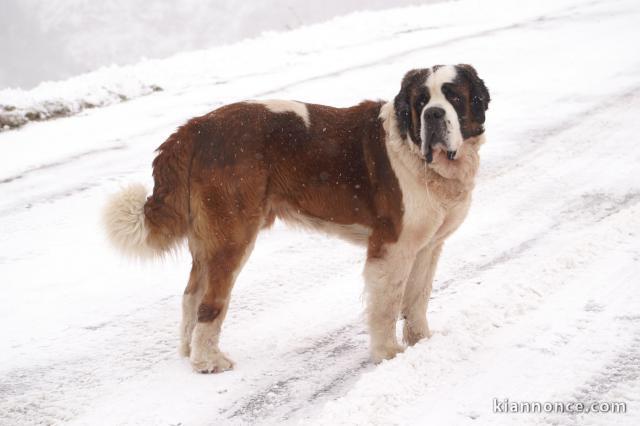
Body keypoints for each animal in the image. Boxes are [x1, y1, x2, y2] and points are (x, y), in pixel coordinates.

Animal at [104, 63, 490, 372]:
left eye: (453, 97)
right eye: (421, 101)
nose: (434, 115)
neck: (415, 152)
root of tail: (196, 127)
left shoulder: (427, 245)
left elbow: (418, 297)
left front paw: (421, 341)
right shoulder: (392, 247)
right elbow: (388, 304)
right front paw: (388, 354)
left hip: (209, 240)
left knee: (191, 295)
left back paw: (189, 353)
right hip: (233, 235)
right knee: (210, 304)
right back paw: (208, 362)